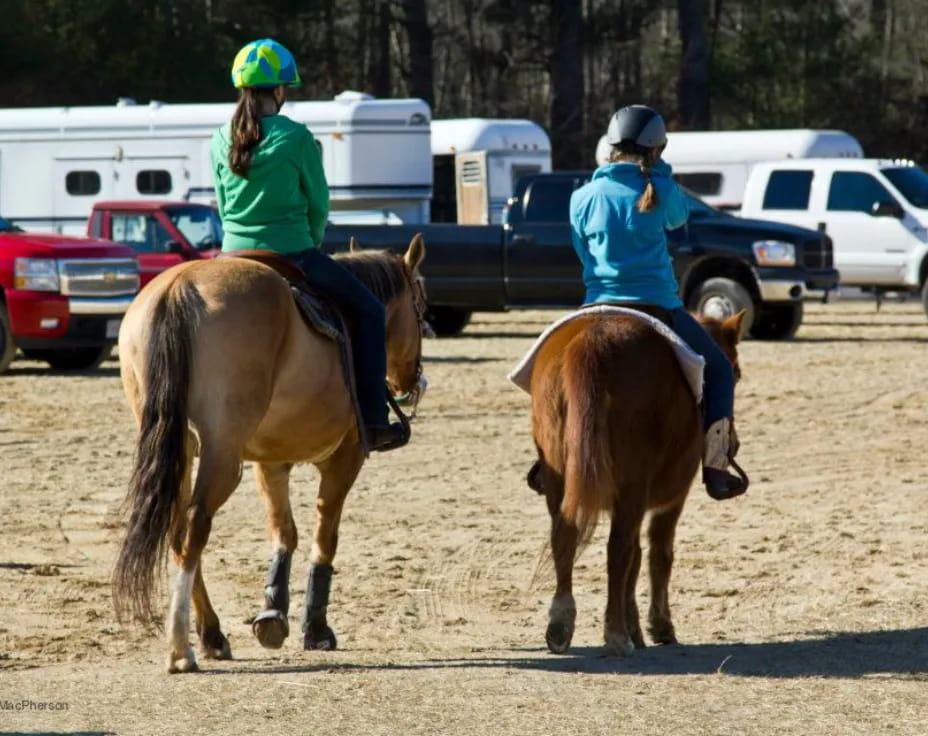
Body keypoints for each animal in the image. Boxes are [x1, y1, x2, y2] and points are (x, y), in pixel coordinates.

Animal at [112, 234, 428, 672]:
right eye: (420, 304)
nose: (411, 379)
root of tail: (180, 286)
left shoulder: (269, 461)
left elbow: (284, 533)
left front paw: (273, 614)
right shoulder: (345, 458)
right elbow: (324, 537)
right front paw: (316, 629)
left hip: (179, 450)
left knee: (177, 532)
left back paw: (212, 635)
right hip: (222, 454)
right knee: (194, 526)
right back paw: (181, 648)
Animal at [524, 310, 744, 656]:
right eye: (735, 373)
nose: (733, 444)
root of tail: (593, 342)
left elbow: (637, 557)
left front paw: (637, 629)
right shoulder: (672, 498)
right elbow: (658, 554)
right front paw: (659, 627)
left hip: (562, 482)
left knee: (565, 540)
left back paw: (561, 627)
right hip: (633, 486)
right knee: (618, 550)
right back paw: (616, 634)